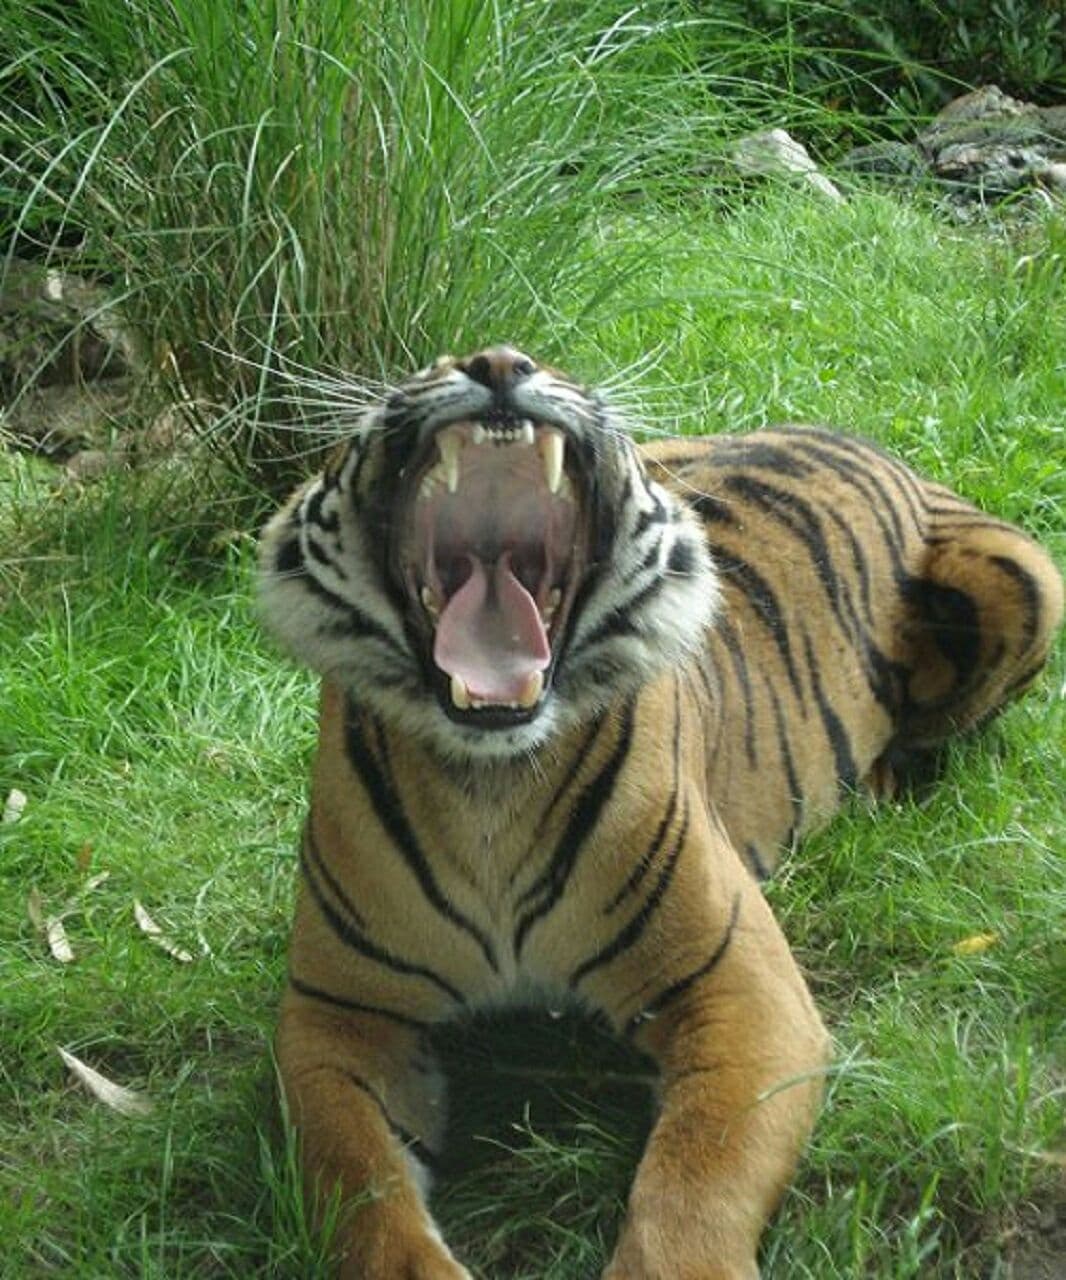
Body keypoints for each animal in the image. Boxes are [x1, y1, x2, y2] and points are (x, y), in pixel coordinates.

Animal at [257, 346, 1063, 1280]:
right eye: (435, 364)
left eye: (538, 362)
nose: (497, 361)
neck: (489, 781)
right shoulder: (338, 1015)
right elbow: (358, 1186)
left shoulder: (742, 986)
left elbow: (696, 1176)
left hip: (1026, 574)